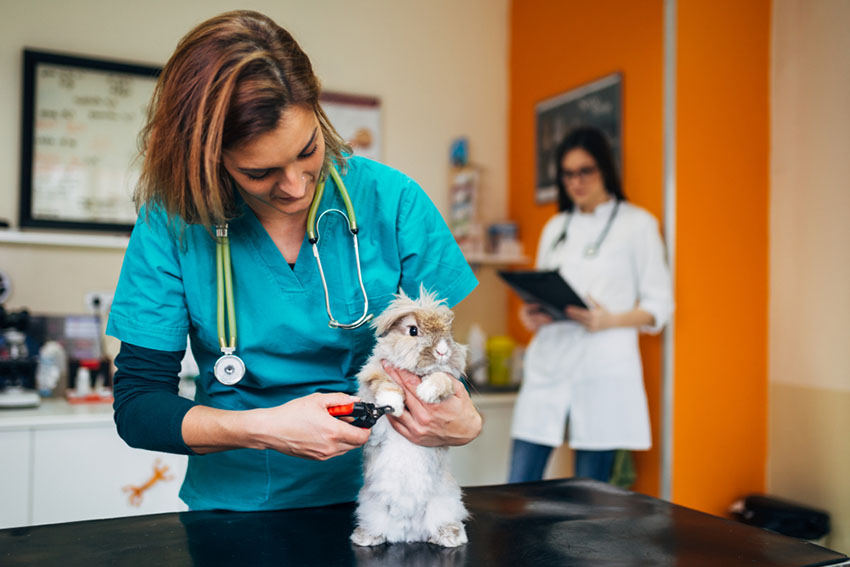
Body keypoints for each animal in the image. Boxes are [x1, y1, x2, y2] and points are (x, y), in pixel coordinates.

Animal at [350, 286, 470, 548]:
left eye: (448, 333)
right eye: (413, 330)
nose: (443, 351)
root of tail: (409, 532)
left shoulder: (450, 381)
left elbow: (441, 379)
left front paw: (426, 392)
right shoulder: (374, 374)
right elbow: (387, 387)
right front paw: (394, 406)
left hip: (446, 503)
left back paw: (450, 537)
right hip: (370, 506)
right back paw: (366, 537)